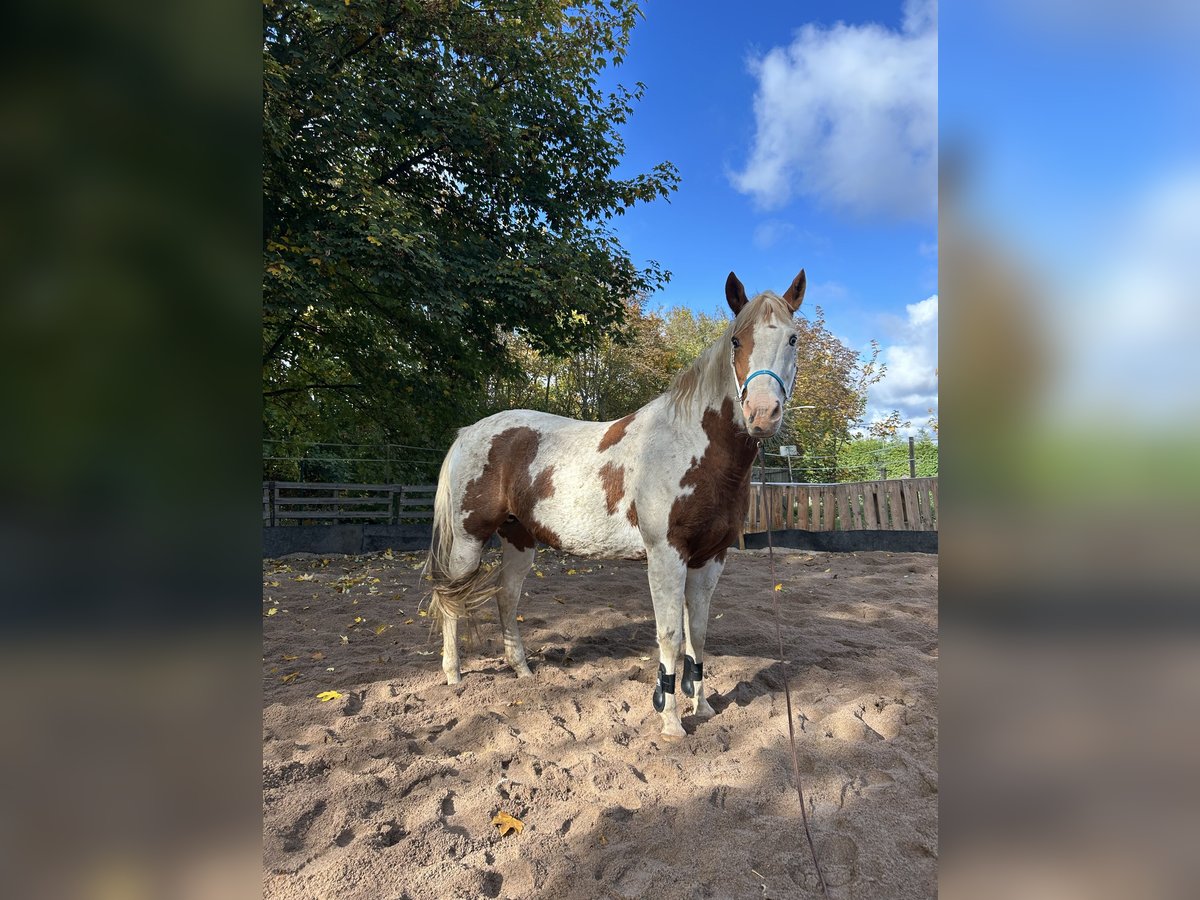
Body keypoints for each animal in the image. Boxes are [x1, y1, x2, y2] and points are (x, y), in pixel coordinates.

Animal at [425, 269, 806, 737]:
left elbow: (698, 633)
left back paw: (522, 670)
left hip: (519, 539)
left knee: (506, 597)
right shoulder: (665, 556)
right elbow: (670, 636)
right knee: (453, 600)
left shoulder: (710, 558)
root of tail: (469, 433)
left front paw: (703, 708)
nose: (762, 414)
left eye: (792, 338)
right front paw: (671, 721)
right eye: (737, 340)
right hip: (468, 540)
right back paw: (454, 674)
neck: (691, 448)